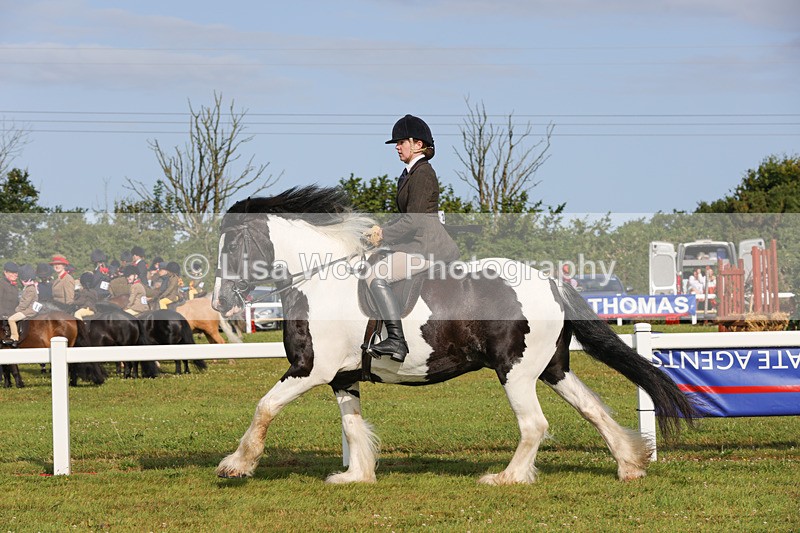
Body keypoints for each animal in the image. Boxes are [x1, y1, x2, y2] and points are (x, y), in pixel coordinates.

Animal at [210, 186, 696, 484]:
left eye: (232, 247)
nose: (218, 303)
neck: (316, 280)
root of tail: (551, 282)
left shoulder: (311, 369)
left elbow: (264, 407)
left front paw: (236, 465)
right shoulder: (341, 376)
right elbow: (352, 426)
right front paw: (356, 476)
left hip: (516, 371)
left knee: (534, 424)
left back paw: (506, 478)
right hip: (552, 368)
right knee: (592, 409)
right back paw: (630, 465)